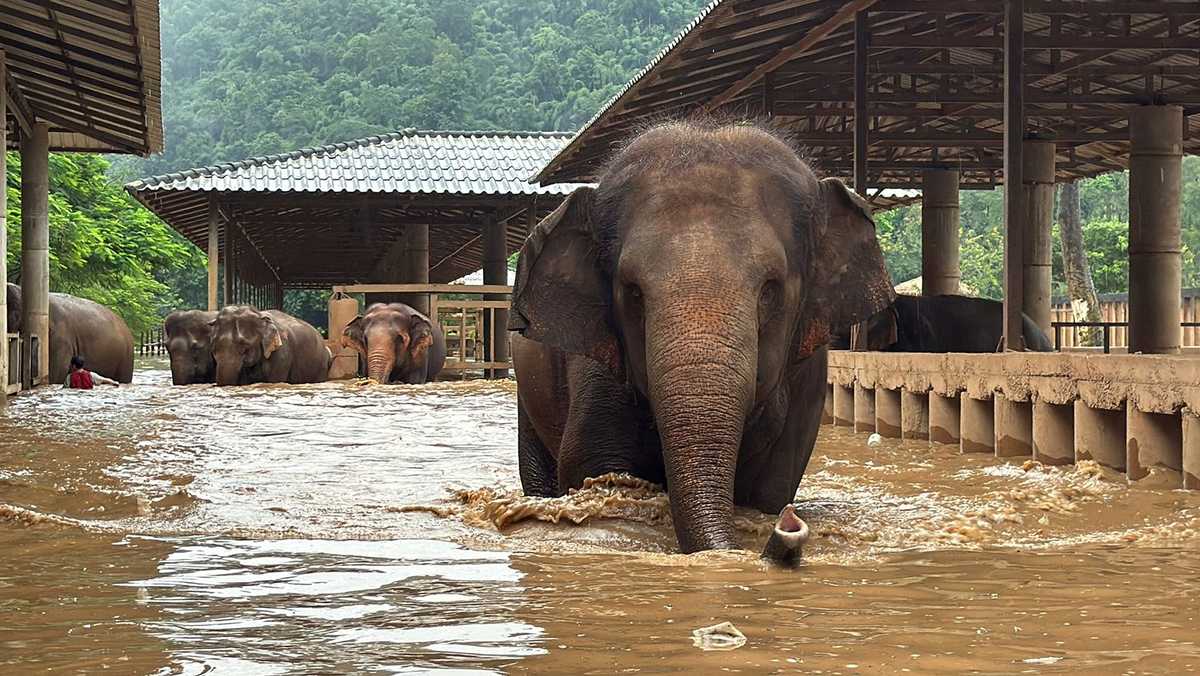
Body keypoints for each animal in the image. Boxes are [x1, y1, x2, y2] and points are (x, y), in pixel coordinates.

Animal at [506, 121, 892, 554]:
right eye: (633, 291)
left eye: (770, 289)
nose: (788, 526)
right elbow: (592, 464)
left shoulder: (807, 381)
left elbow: (772, 485)